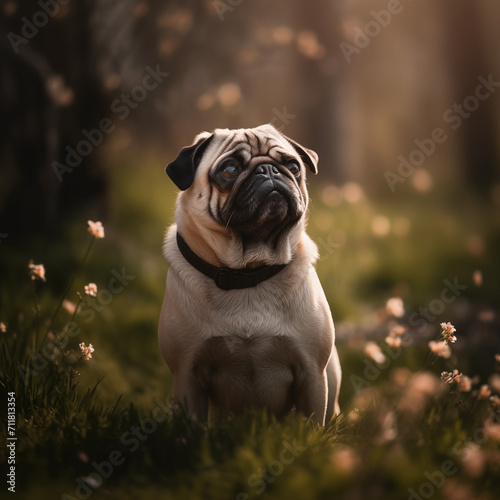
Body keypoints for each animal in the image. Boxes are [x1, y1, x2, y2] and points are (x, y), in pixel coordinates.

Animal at [158, 123, 342, 424]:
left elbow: (311, 426)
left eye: (293, 166)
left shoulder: (313, 375)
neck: (248, 273)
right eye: (229, 170)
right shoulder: (187, 376)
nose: (268, 170)